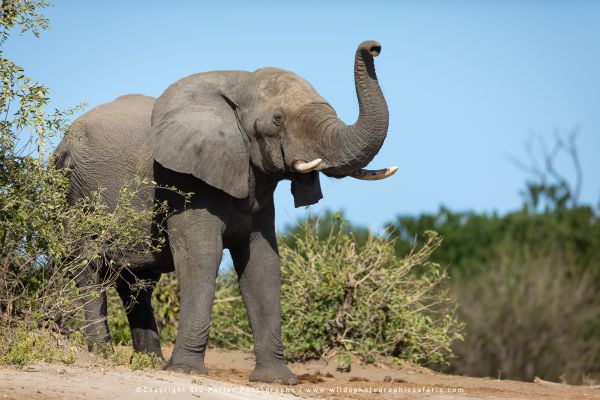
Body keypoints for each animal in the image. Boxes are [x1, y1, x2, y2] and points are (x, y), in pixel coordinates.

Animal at [54, 40, 396, 384]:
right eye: (278, 118)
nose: (374, 47)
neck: (240, 85)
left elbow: (262, 262)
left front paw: (277, 379)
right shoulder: (188, 178)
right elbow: (202, 254)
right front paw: (185, 370)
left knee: (136, 282)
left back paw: (148, 363)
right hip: (73, 191)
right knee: (90, 269)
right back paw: (103, 356)